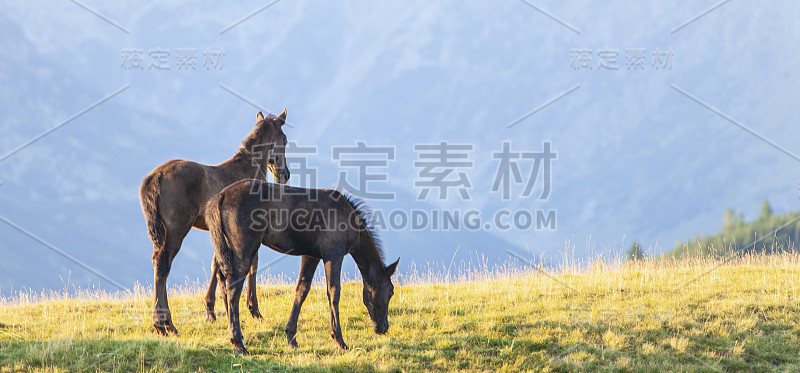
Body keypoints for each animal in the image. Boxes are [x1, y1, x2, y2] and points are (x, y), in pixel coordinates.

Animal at [139, 109, 290, 334]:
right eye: (285, 140)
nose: (285, 175)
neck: (248, 167)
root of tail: (156, 177)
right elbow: (250, 265)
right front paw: (254, 311)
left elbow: (217, 265)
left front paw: (213, 311)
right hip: (176, 230)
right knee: (163, 264)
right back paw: (165, 325)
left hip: (161, 233)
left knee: (159, 264)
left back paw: (164, 323)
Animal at [203, 179, 396, 354]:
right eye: (391, 292)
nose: (383, 327)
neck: (348, 217)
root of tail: (221, 196)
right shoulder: (333, 255)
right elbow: (334, 292)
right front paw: (339, 340)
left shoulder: (311, 256)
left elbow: (301, 290)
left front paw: (291, 337)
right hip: (244, 250)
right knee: (233, 288)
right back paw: (238, 342)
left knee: (223, 282)